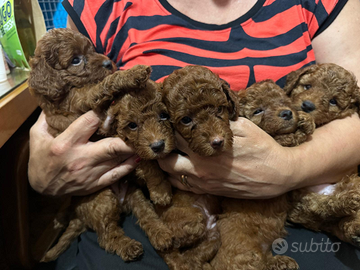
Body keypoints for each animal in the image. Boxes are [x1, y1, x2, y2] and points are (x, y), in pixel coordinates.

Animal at [28, 29, 174, 262]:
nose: (108, 63)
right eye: (76, 60)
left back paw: (161, 235)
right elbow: (104, 84)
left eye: (92, 49)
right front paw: (132, 74)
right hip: (103, 199)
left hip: (135, 196)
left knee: (146, 215)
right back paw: (128, 246)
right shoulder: (84, 100)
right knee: (107, 235)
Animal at [158, 66, 239, 270]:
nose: (217, 142)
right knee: (175, 248)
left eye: (220, 109)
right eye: (186, 120)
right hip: (191, 220)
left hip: (214, 235)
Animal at [211, 79, 316, 270]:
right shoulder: (276, 140)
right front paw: (302, 127)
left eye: (283, 101)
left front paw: (306, 119)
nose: (287, 113)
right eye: (258, 110)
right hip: (246, 254)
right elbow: (286, 138)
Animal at [284, 62, 360, 247]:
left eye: (333, 101)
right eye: (307, 86)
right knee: (324, 210)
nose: (307, 106)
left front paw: (306, 121)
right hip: (303, 202)